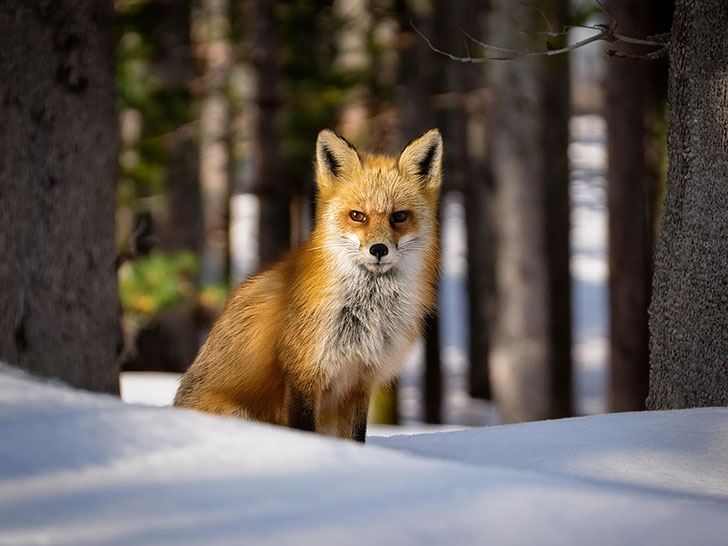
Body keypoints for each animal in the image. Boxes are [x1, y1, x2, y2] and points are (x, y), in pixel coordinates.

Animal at [173, 129, 440, 442]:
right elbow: (303, 430)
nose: (378, 249)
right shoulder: (303, 374)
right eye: (357, 216)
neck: (365, 313)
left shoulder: (359, 380)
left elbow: (356, 438)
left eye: (399, 216)